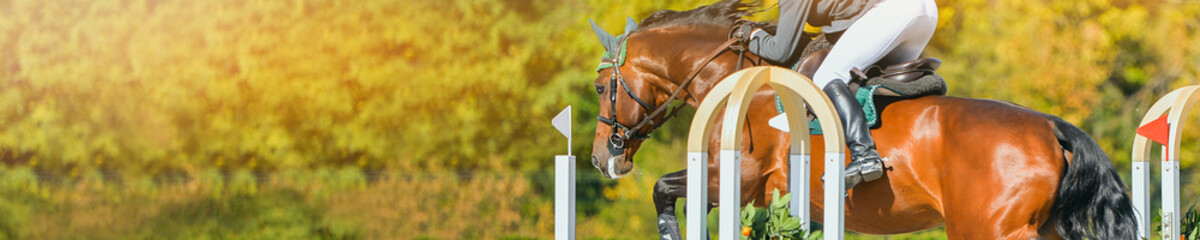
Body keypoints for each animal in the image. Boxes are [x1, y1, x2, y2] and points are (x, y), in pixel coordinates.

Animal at [588, 0, 1132, 238]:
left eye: (599, 88)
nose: (599, 159)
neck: (736, 77)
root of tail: (1051, 127)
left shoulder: (735, 178)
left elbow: (663, 188)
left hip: (992, 231)